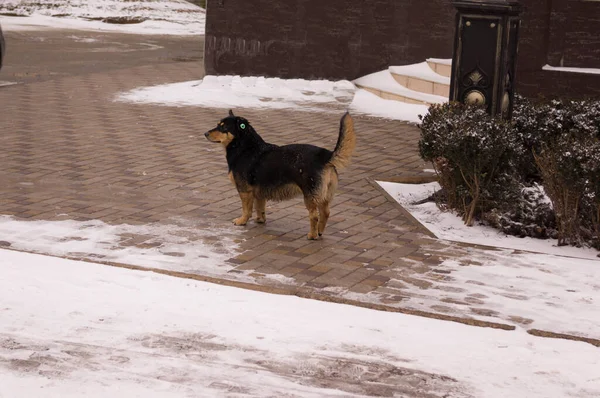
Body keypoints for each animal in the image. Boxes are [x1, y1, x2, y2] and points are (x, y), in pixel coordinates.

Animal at [206, 109, 356, 239]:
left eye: (223, 127)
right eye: (218, 125)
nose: (205, 133)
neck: (245, 147)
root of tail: (325, 155)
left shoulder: (244, 191)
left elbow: (246, 209)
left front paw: (242, 221)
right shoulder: (259, 192)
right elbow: (260, 207)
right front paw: (260, 220)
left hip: (310, 196)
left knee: (314, 216)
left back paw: (312, 235)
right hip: (325, 196)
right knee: (326, 213)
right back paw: (319, 232)